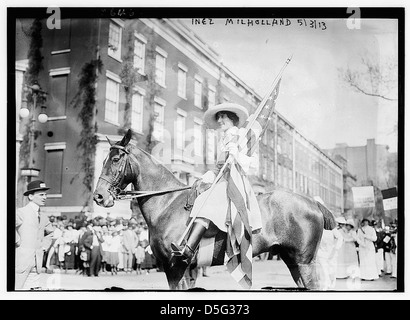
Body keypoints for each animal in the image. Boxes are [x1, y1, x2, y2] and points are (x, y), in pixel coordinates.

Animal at [93, 129, 336, 290]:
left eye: (115, 159)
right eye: (103, 159)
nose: (99, 196)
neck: (167, 203)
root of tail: (313, 203)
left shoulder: (176, 267)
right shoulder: (183, 270)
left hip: (304, 261)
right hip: (292, 259)